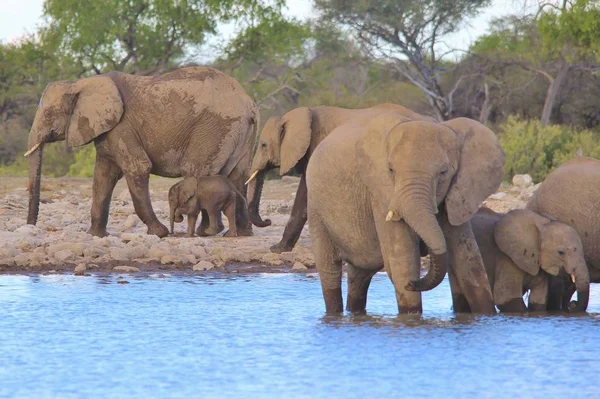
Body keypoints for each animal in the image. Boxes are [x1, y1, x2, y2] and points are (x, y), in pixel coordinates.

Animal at [24, 67, 258, 239]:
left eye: (48, 114)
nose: (31, 228)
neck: (80, 83)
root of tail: (249, 103)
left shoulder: (121, 127)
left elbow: (138, 167)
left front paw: (160, 233)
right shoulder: (108, 132)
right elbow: (102, 178)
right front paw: (95, 235)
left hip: (214, 129)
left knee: (197, 171)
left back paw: (206, 232)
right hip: (240, 133)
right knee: (238, 176)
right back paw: (240, 233)